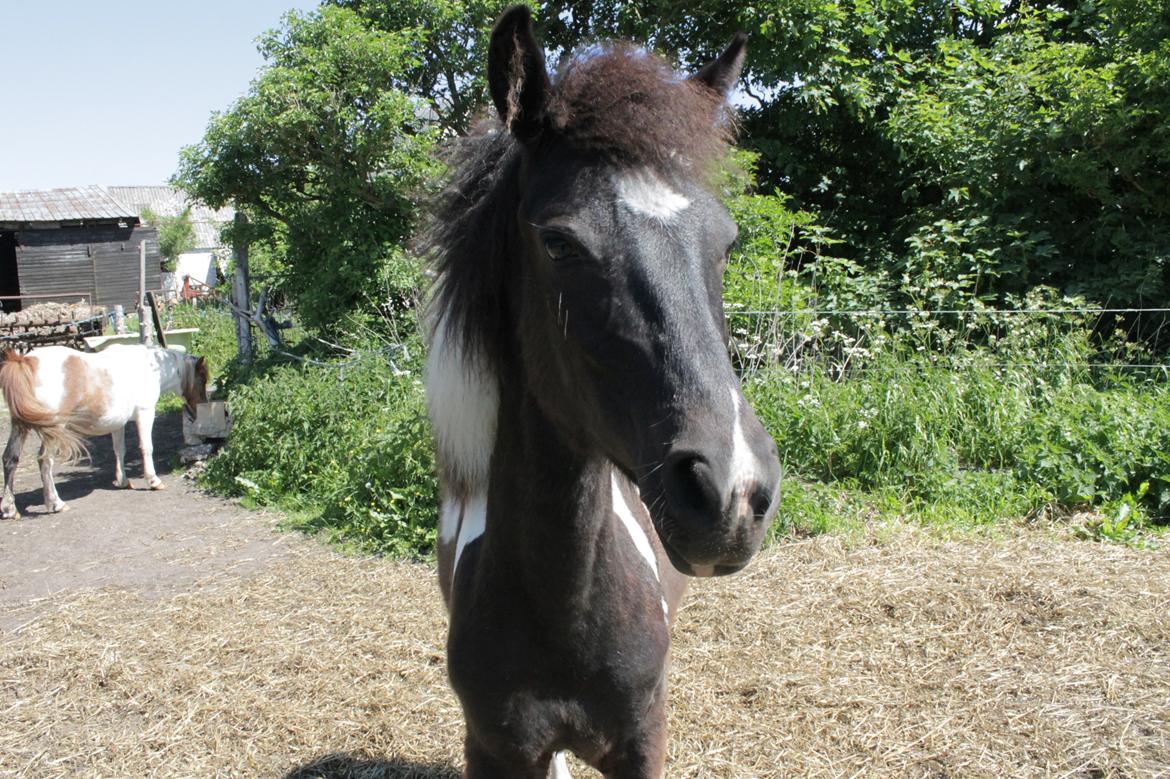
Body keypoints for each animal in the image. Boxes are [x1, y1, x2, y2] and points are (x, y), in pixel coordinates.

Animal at [0, 341, 208, 514]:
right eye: (202, 380)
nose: (198, 412)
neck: (151, 368)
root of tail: (25, 362)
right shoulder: (145, 413)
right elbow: (146, 448)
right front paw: (153, 480)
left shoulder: (117, 423)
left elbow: (119, 450)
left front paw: (122, 481)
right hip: (54, 429)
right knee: (45, 461)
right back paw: (55, 503)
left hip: (20, 427)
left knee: (10, 458)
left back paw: (9, 508)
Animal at [425, 7, 781, 776]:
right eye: (559, 243)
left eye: (726, 243)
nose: (733, 490)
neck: (559, 611)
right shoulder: (493, 749)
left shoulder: (642, 742)